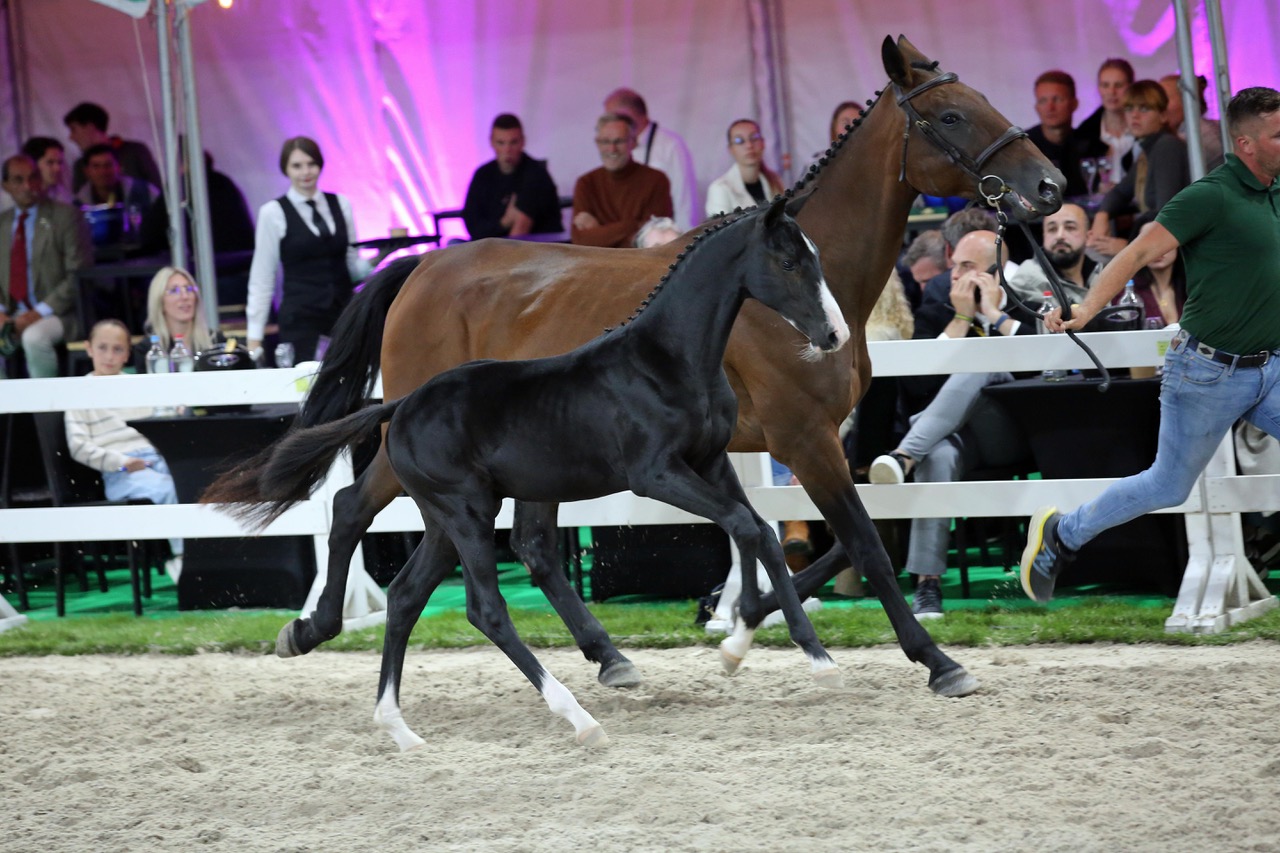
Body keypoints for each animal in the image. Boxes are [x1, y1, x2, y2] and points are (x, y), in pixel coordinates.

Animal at [240, 199, 849, 742]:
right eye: (788, 262)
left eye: (816, 256)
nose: (835, 336)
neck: (666, 359)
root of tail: (400, 406)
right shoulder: (656, 474)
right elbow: (744, 526)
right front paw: (775, 651)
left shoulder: (711, 463)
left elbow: (759, 531)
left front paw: (784, 653)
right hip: (467, 512)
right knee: (483, 607)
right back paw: (579, 718)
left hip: (442, 522)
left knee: (406, 596)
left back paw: (397, 727)